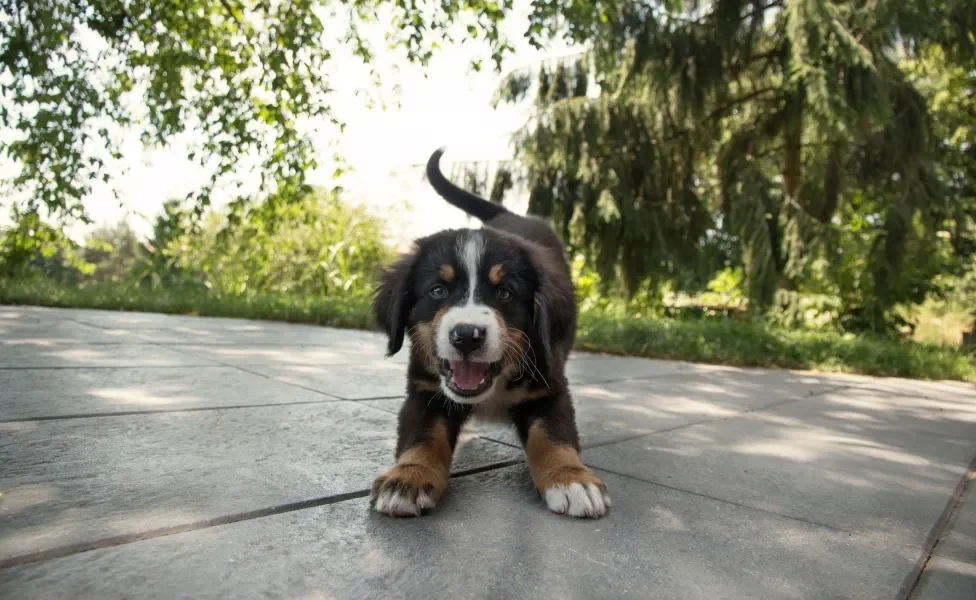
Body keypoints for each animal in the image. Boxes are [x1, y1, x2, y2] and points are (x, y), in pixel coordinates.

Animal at [368, 148, 608, 516]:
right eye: (438, 290)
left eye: (505, 293)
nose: (466, 335)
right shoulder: (425, 391)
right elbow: (421, 437)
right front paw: (407, 478)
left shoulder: (550, 388)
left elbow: (553, 436)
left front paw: (572, 479)